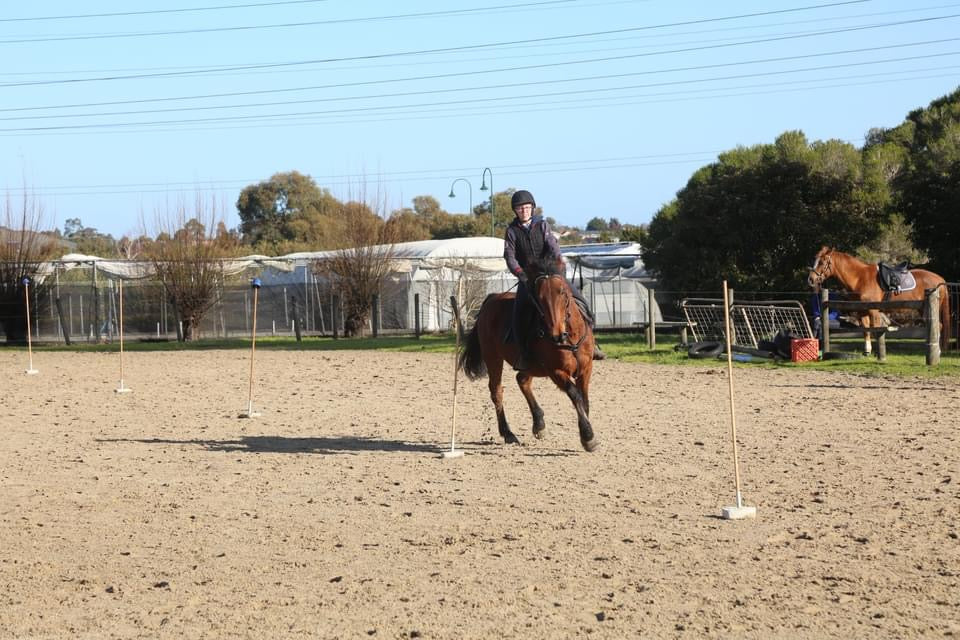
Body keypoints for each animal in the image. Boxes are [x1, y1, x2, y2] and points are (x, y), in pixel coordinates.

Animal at [454, 255, 596, 450]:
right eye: (539, 298)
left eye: (563, 292)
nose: (557, 334)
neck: (570, 338)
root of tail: (492, 299)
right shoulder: (556, 371)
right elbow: (575, 395)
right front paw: (588, 436)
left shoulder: (586, 368)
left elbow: (585, 400)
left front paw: (586, 432)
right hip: (493, 357)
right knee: (496, 391)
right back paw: (508, 433)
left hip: (529, 366)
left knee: (522, 379)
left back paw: (539, 423)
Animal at [808, 246, 948, 356]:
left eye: (822, 262)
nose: (810, 279)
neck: (860, 278)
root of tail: (939, 279)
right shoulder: (862, 311)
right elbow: (866, 330)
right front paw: (867, 351)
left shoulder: (873, 311)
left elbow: (876, 331)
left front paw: (878, 353)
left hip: (926, 310)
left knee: (938, 326)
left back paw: (937, 351)